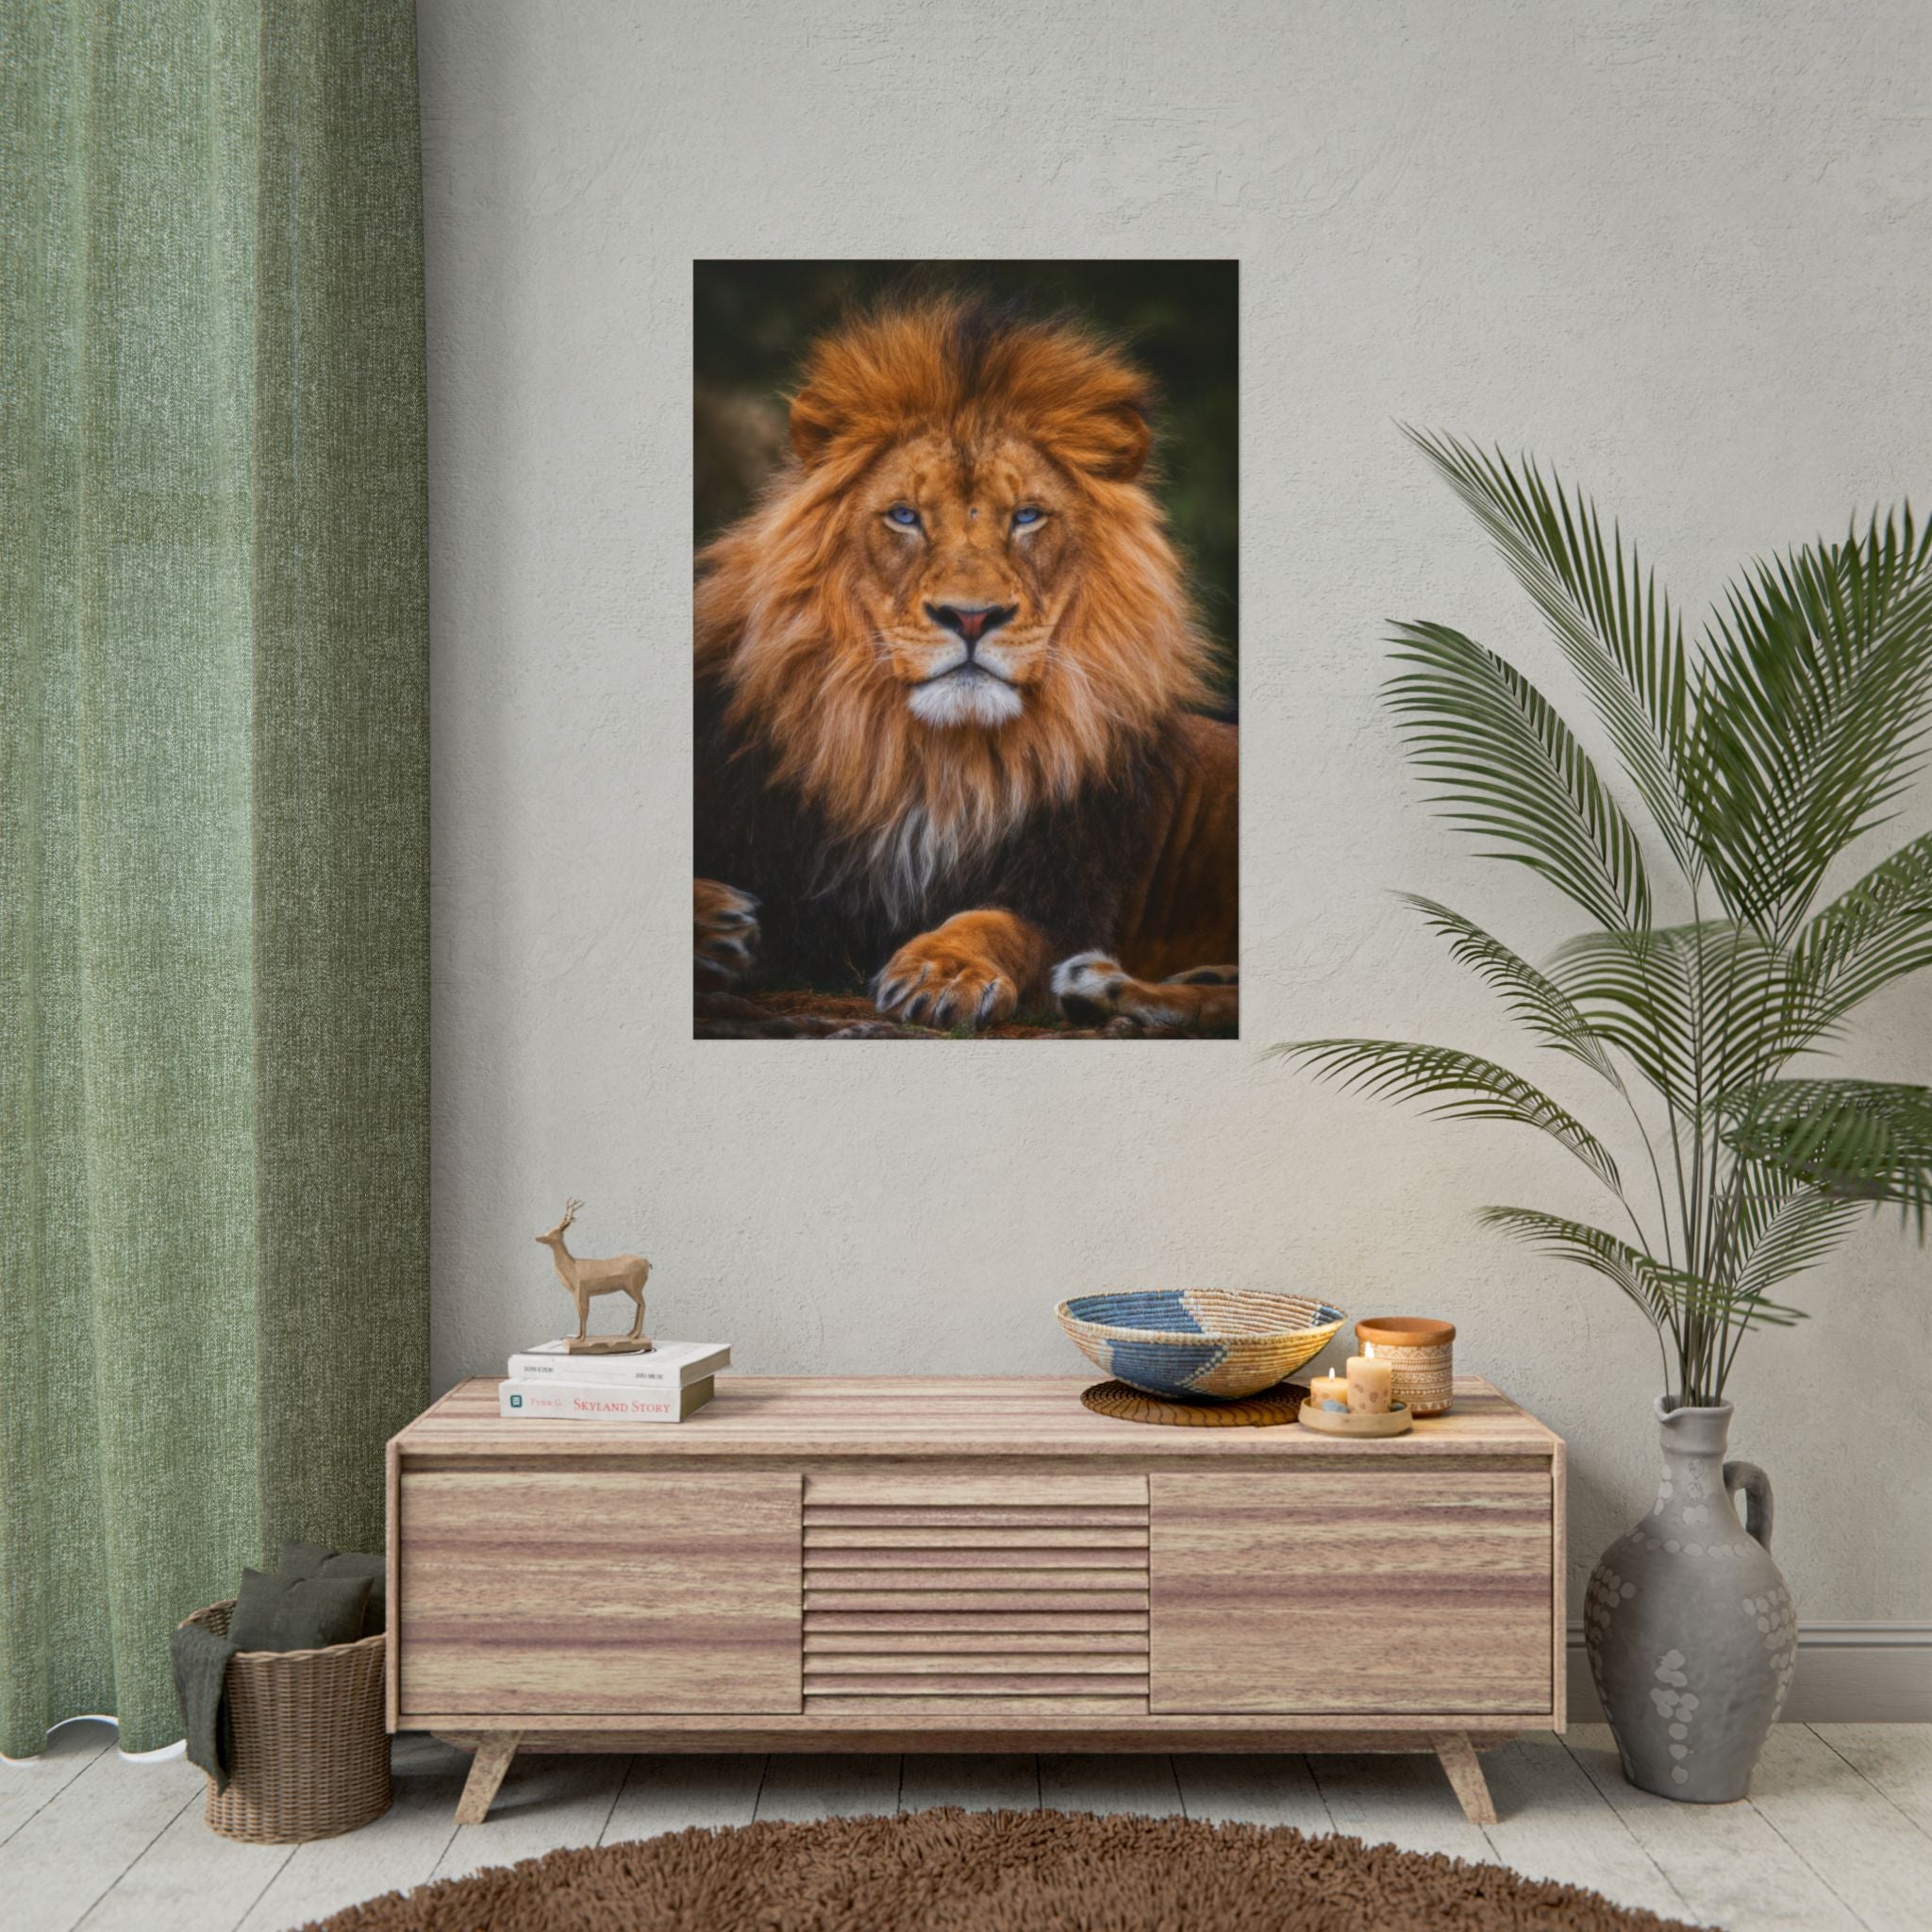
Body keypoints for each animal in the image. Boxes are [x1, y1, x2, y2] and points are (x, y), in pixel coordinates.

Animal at [694, 296, 1237, 1035]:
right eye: (903, 516)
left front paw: (943, 971)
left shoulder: (1067, 890)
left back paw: (1105, 987)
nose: (972, 617)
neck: (933, 763)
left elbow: (994, 924)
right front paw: (715, 923)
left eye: (1028, 516)